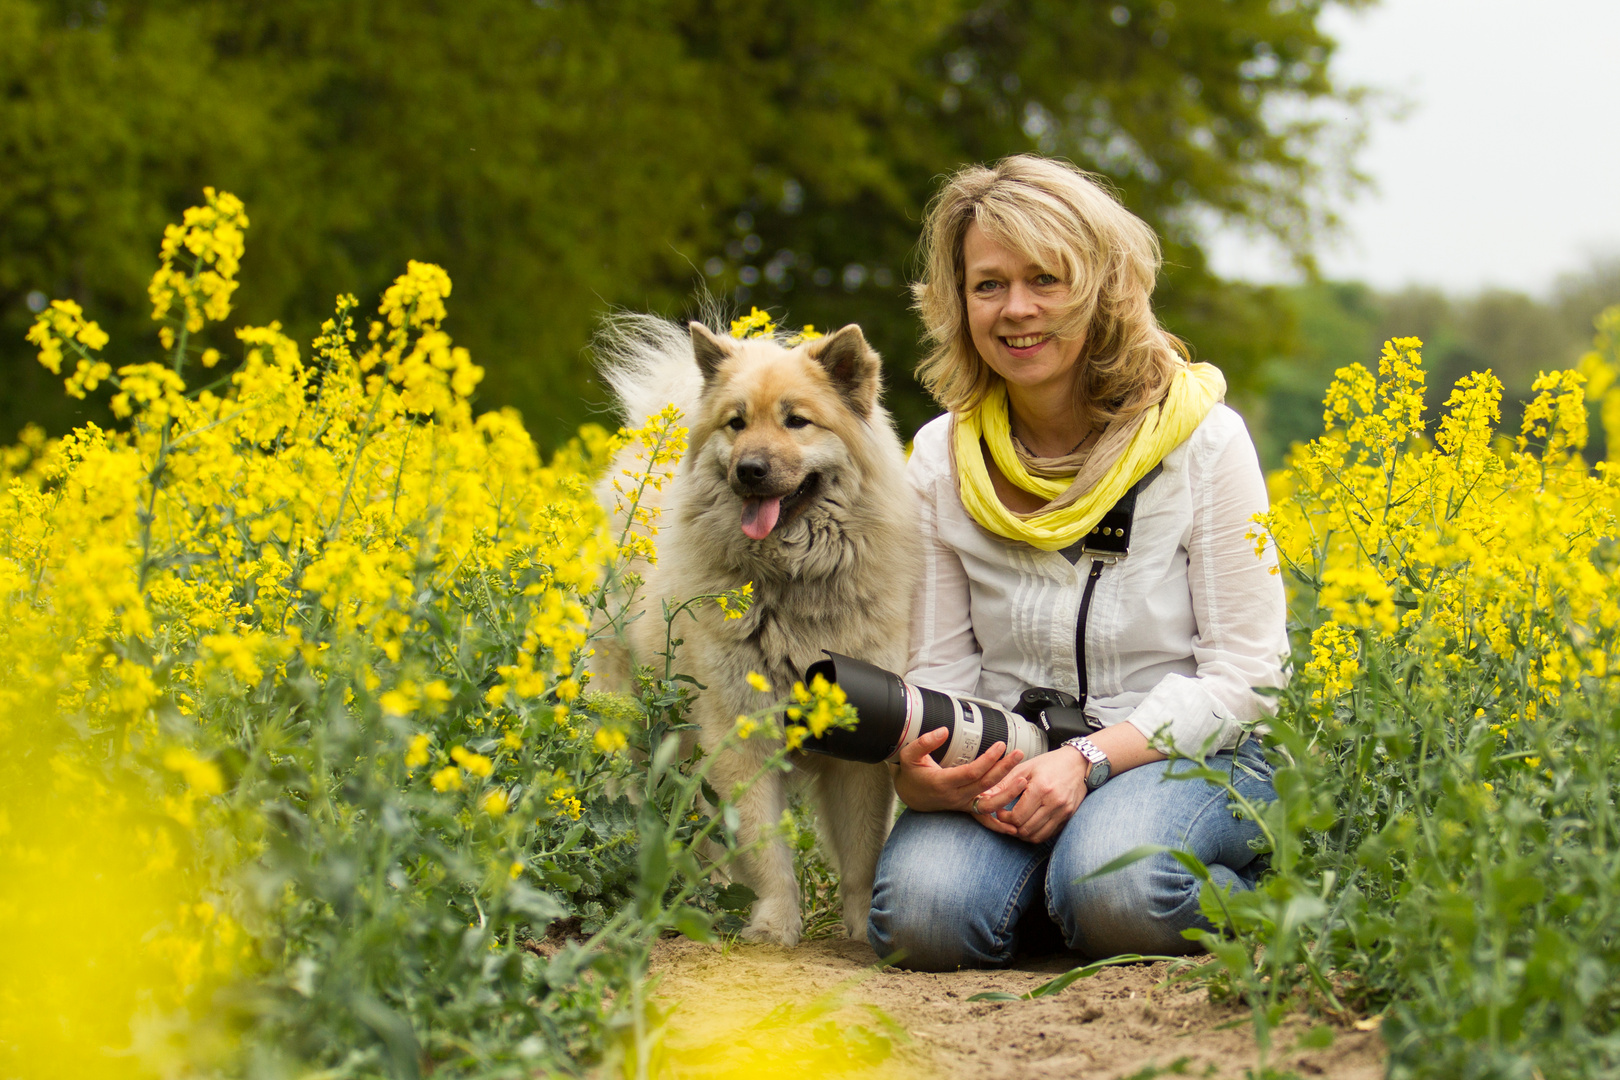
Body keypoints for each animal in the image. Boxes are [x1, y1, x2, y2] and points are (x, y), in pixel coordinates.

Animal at [596, 314, 926, 945]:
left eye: (797, 421)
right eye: (737, 422)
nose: (749, 470)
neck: (791, 581)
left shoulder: (860, 744)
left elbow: (861, 851)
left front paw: (859, 926)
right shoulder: (740, 733)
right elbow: (763, 846)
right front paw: (775, 923)